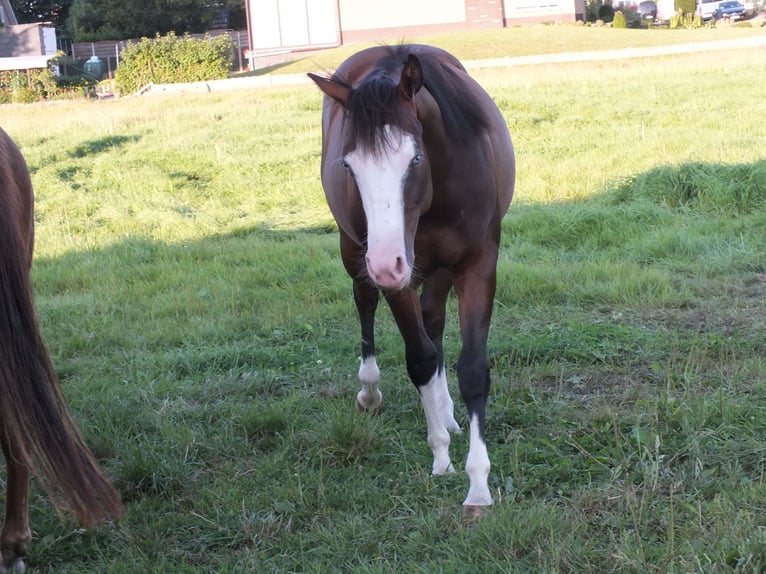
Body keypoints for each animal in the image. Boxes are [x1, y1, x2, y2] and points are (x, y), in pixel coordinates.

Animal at [310, 44, 516, 508]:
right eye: (349, 166)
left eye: (415, 158)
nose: (387, 264)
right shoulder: (395, 274)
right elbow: (419, 357)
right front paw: (441, 455)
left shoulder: (477, 263)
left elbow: (471, 367)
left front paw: (479, 485)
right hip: (358, 254)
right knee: (367, 304)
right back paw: (372, 391)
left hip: (433, 269)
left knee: (434, 322)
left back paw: (448, 412)